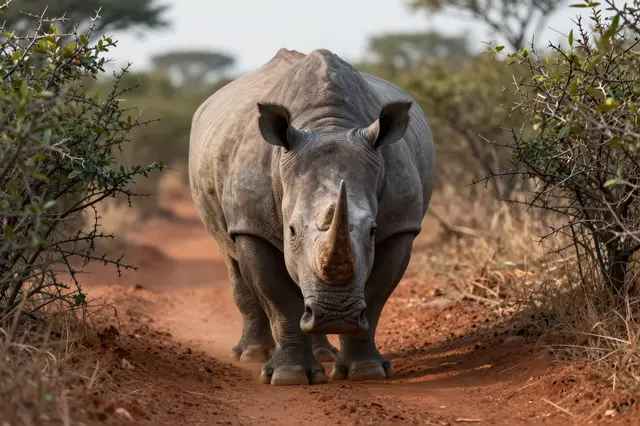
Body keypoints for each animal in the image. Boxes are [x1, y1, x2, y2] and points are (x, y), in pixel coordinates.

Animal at [189, 48, 435, 386]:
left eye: (372, 230)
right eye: (291, 230)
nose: (337, 313)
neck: (328, 124)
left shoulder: (401, 226)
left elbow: (375, 297)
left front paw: (366, 371)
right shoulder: (252, 225)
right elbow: (279, 299)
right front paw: (288, 377)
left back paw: (322, 353)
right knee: (233, 260)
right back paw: (251, 355)